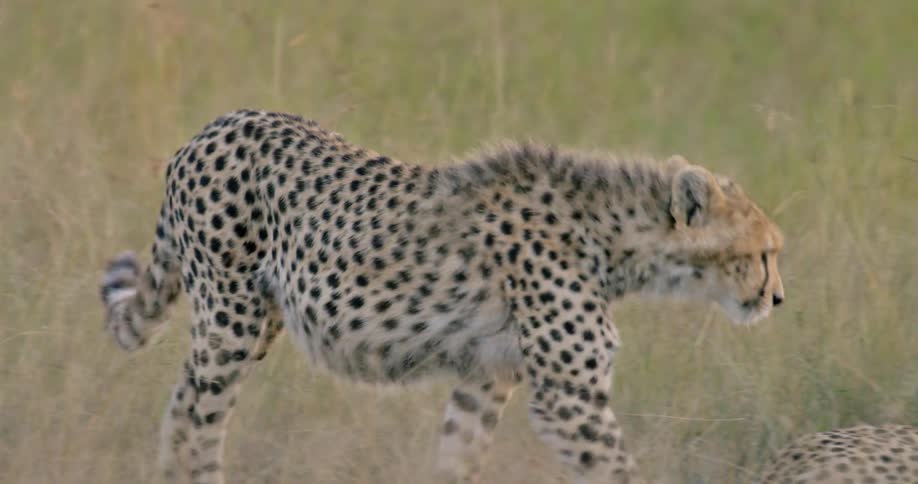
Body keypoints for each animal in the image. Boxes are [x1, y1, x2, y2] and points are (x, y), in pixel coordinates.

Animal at [100, 109, 785, 483]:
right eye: (764, 252)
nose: (777, 300)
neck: (616, 237)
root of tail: (216, 124)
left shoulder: (487, 376)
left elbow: (459, 458)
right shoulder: (569, 397)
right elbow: (617, 468)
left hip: (252, 321)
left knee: (184, 404)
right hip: (230, 320)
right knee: (197, 418)